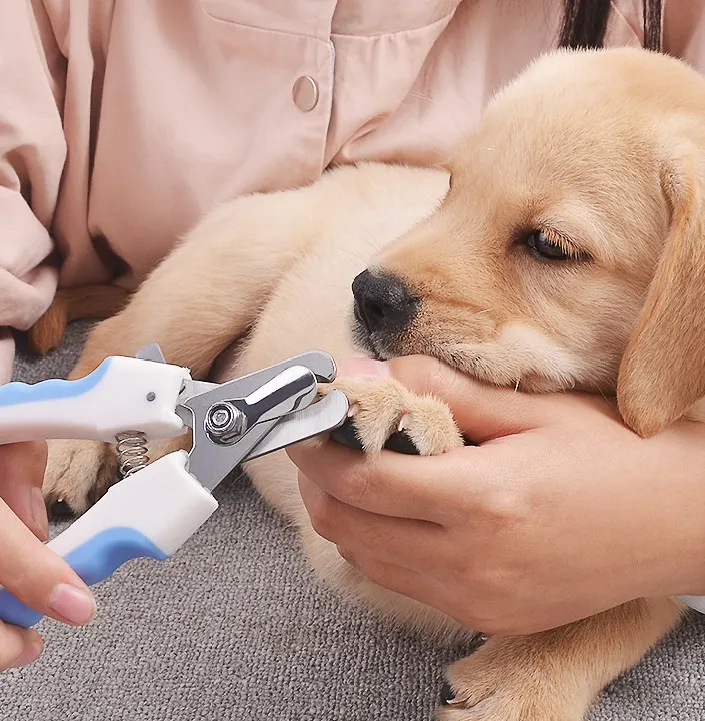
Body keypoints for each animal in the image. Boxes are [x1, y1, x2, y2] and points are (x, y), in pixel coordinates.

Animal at [35, 47, 704, 716]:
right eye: (451, 188)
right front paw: (408, 415)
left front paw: (521, 684)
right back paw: (71, 453)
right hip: (218, 280)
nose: (367, 293)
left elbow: (618, 613)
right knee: (117, 345)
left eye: (548, 245)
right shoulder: (347, 545)